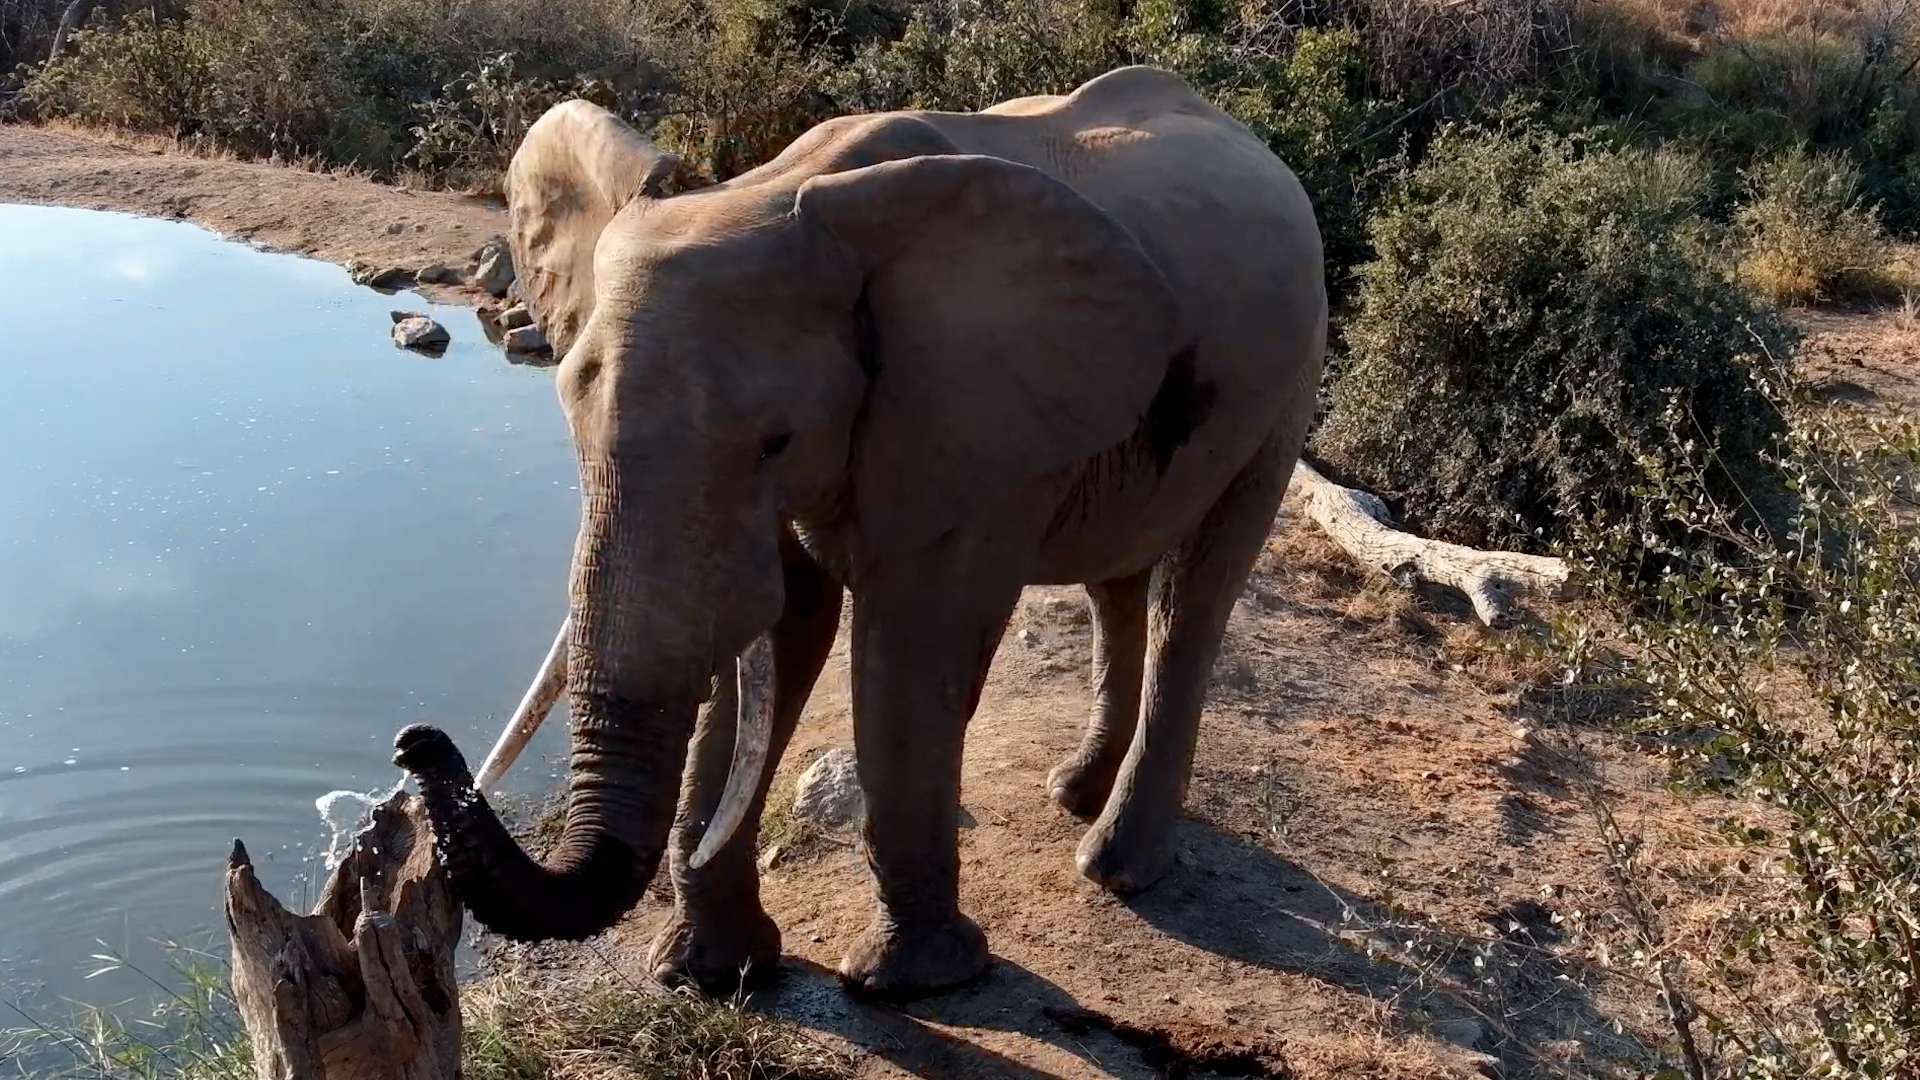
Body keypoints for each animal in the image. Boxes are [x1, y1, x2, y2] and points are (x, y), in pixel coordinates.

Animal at [393, 63, 1327, 1000]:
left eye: (775, 439)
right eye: (569, 411)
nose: (416, 745)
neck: (778, 185)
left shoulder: (960, 416)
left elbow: (905, 651)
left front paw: (912, 981)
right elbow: (774, 639)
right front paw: (712, 971)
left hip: (1290, 378)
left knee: (1198, 588)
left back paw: (1116, 866)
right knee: (1118, 576)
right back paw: (1074, 793)